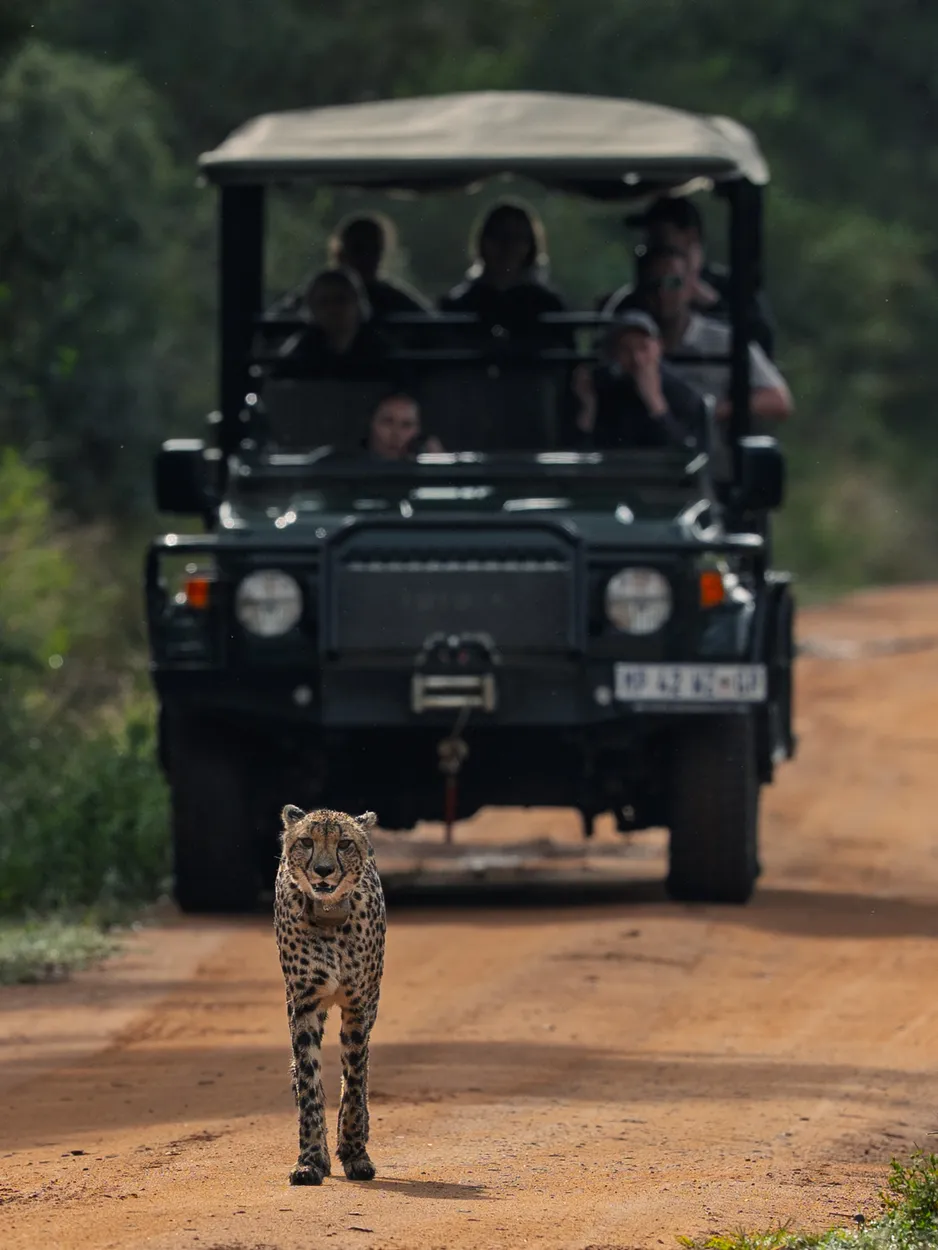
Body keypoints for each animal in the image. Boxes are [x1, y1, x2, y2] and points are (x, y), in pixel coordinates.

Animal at [274, 805, 386, 1186]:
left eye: (345, 843)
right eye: (307, 842)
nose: (323, 870)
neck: (328, 916)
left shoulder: (357, 1007)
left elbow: (353, 1082)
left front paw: (355, 1154)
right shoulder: (303, 1005)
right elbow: (310, 1083)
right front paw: (310, 1160)